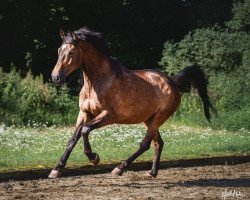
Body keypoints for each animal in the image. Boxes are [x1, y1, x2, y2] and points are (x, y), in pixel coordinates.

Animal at [48, 26, 217, 178]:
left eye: (71, 52)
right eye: (58, 50)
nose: (55, 77)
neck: (96, 83)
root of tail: (173, 83)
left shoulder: (109, 116)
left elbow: (85, 130)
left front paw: (94, 158)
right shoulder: (84, 113)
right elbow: (72, 139)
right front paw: (56, 170)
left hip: (159, 118)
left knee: (145, 144)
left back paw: (120, 168)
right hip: (149, 119)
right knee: (158, 143)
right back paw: (152, 173)